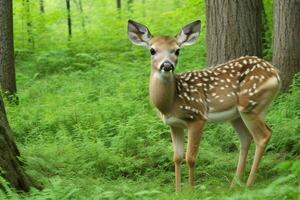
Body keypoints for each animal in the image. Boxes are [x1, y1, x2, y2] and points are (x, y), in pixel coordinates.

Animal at [127, 19, 282, 192]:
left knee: (263, 135)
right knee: (246, 138)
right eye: (152, 50)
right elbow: (177, 157)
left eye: (177, 50)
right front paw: (177, 191)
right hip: (237, 115)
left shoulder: (198, 117)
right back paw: (234, 185)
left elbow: (190, 157)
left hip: (251, 104)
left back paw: (248, 184)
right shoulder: (174, 124)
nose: (167, 65)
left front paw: (191, 190)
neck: (171, 103)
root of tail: (276, 73)